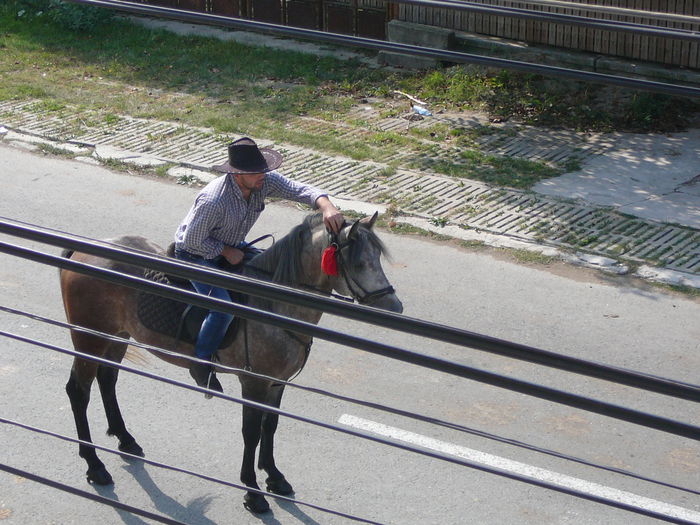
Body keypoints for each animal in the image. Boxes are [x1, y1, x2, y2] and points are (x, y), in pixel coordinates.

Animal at [58, 212, 404, 512]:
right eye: (359, 262)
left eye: (377, 257)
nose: (395, 306)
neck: (273, 305)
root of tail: (83, 252)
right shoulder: (252, 381)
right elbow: (251, 432)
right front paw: (253, 492)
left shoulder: (277, 383)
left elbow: (270, 425)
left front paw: (273, 475)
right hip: (90, 337)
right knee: (78, 391)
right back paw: (94, 464)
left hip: (116, 335)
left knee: (107, 379)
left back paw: (125, 439)